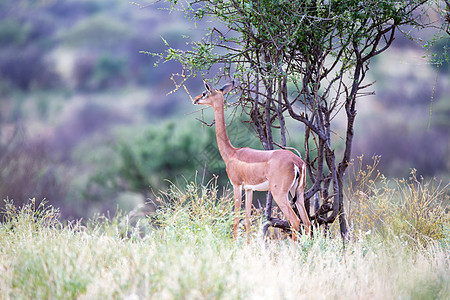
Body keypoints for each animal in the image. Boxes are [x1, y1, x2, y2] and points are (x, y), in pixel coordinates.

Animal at [193, 80, 310, 241]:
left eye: (205, 92)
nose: (195, 99)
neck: (232, 153)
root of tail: (297, 162)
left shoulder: (236, 185)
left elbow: (237, 218)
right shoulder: (249, 189)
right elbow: (248, 220)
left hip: (280, 194)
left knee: (295, 221)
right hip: (297, 193)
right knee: (307, 222)